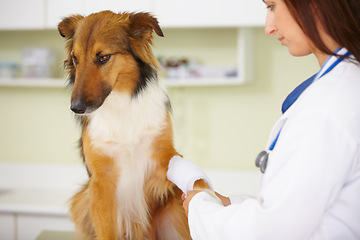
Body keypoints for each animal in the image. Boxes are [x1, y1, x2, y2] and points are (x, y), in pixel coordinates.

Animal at [56, 10, 210, 239]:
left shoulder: (162, 157)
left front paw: (208, 196)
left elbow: (196, 178)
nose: (76, 108)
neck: (121, 103)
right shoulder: (102, 182)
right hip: (81, 199)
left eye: (103, 57)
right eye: (75, 59)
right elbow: (106, 231)